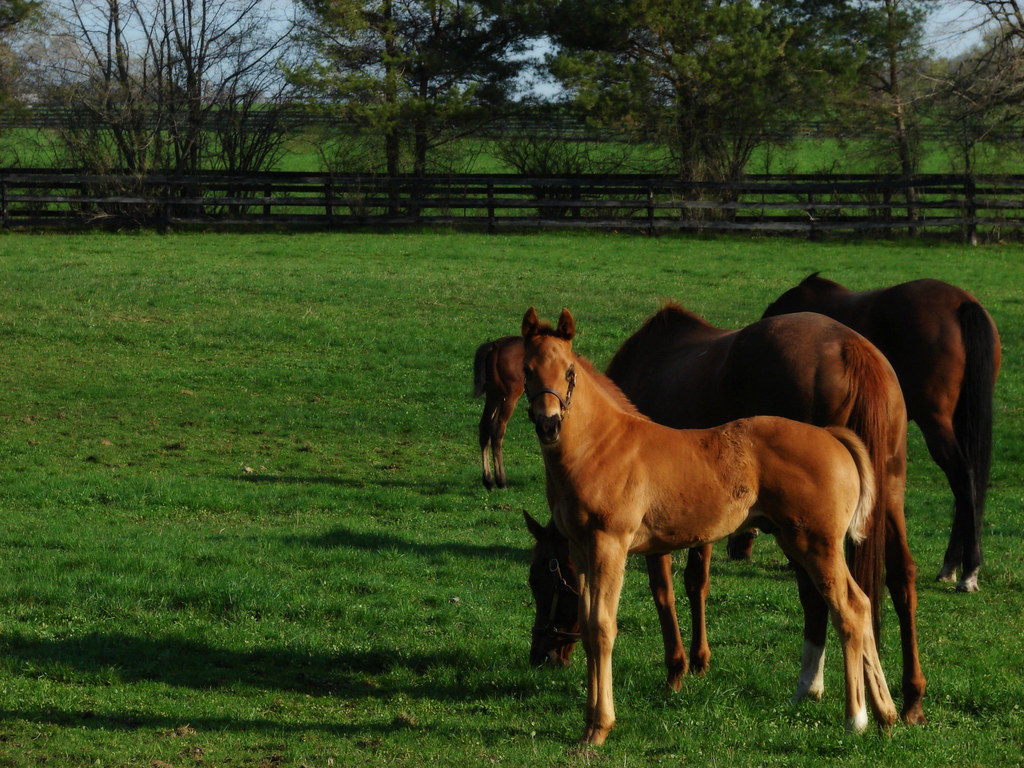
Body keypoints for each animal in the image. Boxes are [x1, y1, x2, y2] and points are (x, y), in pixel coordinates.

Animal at [473, 335, 524, 489]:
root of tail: (495, 345)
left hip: (493, 394)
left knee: (484, 426)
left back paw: (488, 480)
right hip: (509, 396)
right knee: (497, 430)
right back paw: (501, 480)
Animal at [527, 304, 925, 725]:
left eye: (542, 578)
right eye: (526, 369)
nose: (542, 656)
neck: (608, 442)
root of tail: (832, 436)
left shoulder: (622, 544)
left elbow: (658, 597)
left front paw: (676, 672)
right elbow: (673, 591)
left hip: (815, 544)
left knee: (844, 607)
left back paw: (853, 714)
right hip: (846, 516)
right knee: (877, 593)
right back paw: (892, 707)